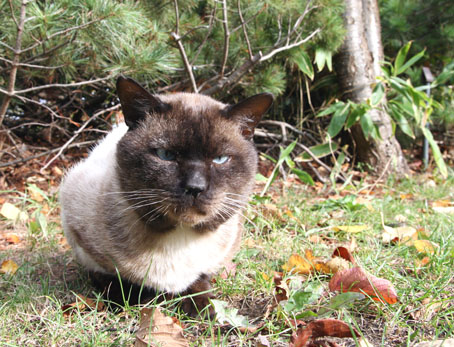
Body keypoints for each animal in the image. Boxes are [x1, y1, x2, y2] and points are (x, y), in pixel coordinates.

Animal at [60, 77, 274, 316]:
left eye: (220, 159)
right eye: (166, 155)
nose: (195, 187)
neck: (179, 237)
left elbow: (198, 280)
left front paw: (202, 307)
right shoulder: (83, 243)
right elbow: (112, 281)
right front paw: (138, 300)